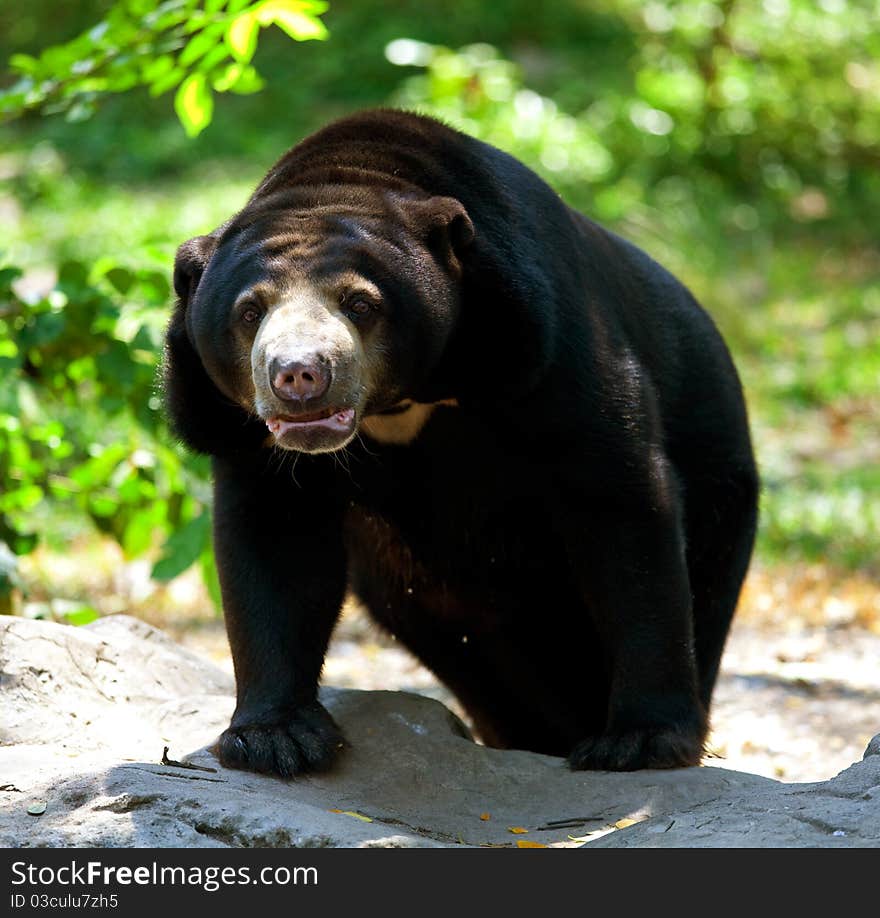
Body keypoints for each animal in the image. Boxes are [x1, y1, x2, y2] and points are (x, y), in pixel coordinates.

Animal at [163, 111, 756, 780]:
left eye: (360, 303)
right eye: (249, 311)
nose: (298, 374)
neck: (404, 399)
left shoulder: (546, 345)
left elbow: (617, 501)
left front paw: (640, 742)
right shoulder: (243, 435)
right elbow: (277, 537)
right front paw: (275, 738)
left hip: (721, 489)